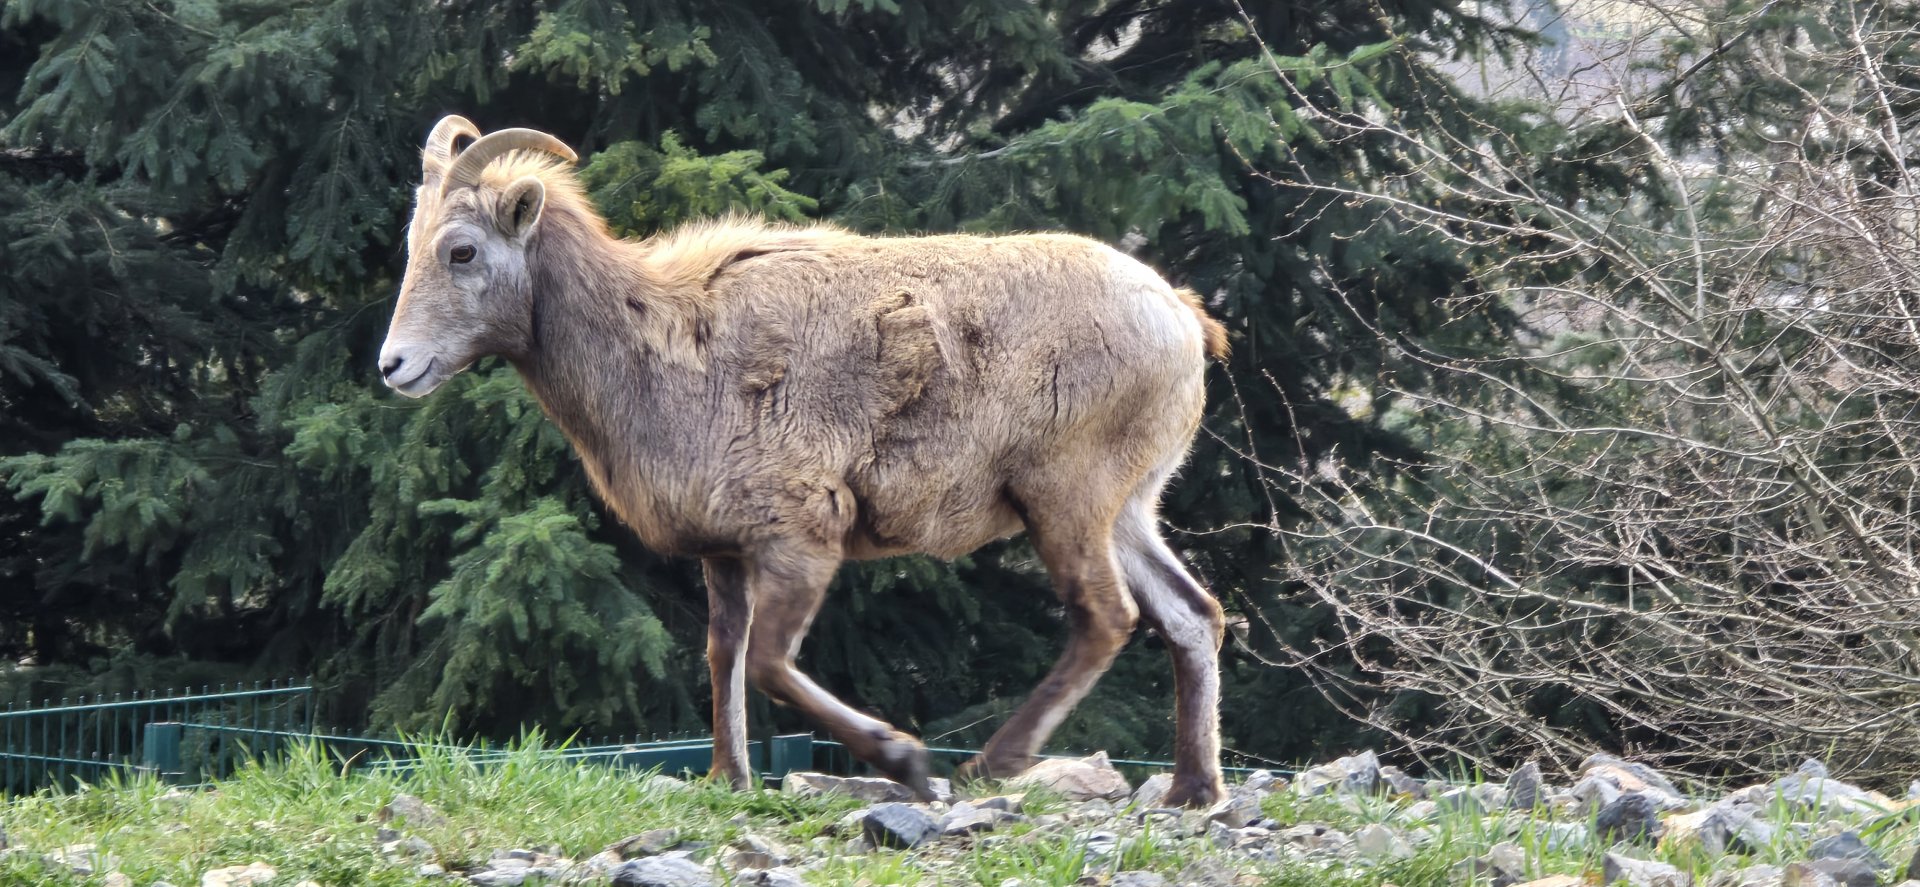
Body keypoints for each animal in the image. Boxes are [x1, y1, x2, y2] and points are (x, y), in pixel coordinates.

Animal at [377, 116, 1231, 807]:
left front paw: (905, 759)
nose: (394, 365)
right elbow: (724, 653)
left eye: (461, 250)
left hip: (1065, 498)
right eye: (414, 245)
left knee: (1106, 616)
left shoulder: (801, 537)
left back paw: (993, 762)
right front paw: (729, 776)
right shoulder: (725, 550)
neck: (666, 348)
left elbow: (767, 662)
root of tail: (1184, 321)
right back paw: (1192, 789)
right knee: (1192, 614)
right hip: (1127, 509)